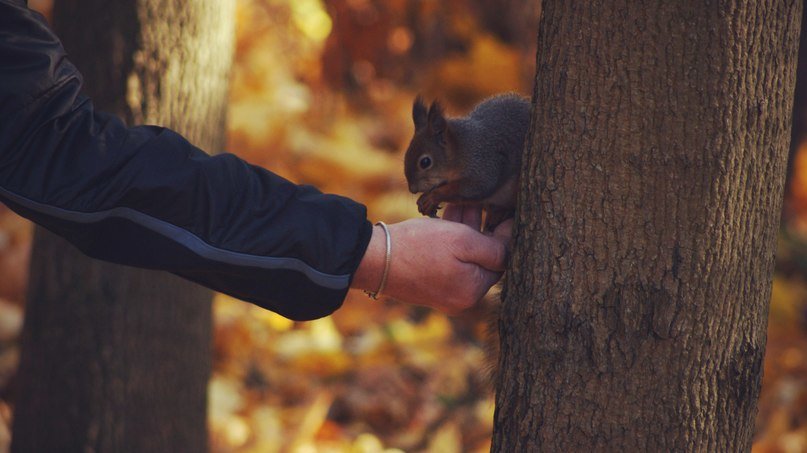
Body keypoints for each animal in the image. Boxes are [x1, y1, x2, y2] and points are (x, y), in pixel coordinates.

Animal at [402, 93, 532, 231]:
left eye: (425, 162)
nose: (412, 189)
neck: (462, 149)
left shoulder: (485, 165)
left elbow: (469, 188)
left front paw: (432, 197)